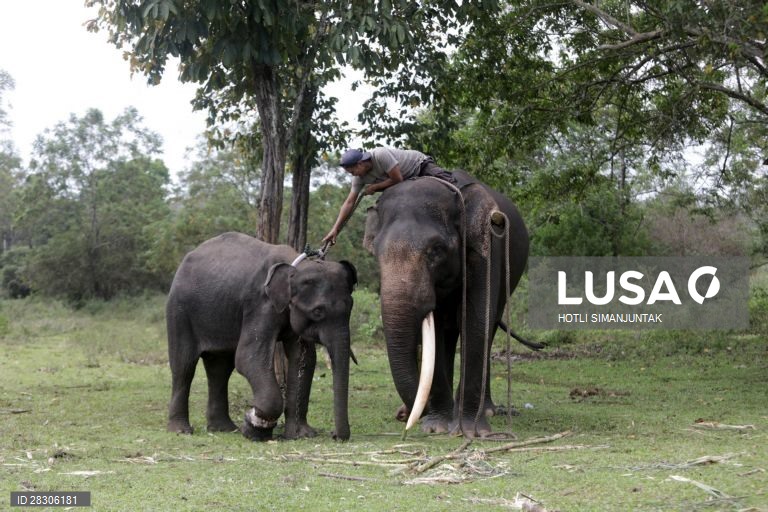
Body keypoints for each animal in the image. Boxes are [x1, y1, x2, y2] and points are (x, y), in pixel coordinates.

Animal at [166, 232, 357, 441]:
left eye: (350, 307)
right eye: (317, 312)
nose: (335, 435)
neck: (295, 265)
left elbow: (303, 360)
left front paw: (301, 435)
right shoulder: (259, 304)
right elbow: (248, 358)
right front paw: (254, 426)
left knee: (220, 368)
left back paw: (224, 429)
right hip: (179, 310)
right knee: (184, 366)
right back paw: (181, 430)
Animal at [363, 170, 529, 437]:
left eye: (436, 250)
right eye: (376, 253)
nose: (403, 415)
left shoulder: (486, 249)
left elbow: (476, 320)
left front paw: (472, 431)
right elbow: (438, 330)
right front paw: (437, 427)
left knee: (490, 326)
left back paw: (486, 410)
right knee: (449, 336)